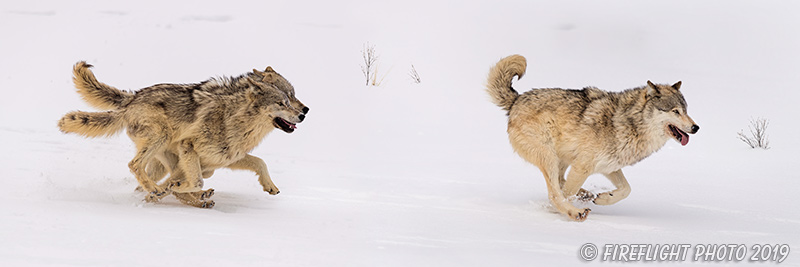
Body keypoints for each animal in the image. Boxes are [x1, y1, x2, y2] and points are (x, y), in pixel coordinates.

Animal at [57, 61, 308, 208]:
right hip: (162, 139)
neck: (239, 122)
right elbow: (192, 182)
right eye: (284, 101)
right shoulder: (189, 146)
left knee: (146, 178)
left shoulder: (223, 159)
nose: (304, 112)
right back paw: (159, 191)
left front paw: (270, 186)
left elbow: (260, 162)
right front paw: (169, 191)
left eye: (292, 97)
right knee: (134, 165)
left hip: (171, 158)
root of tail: (131, 100)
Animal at [484, 54, 696, 222]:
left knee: (560, 182)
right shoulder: (583, 167)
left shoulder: (609, 166)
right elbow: (564, 194)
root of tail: (516, 100)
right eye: (675, 111)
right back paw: (575, 211)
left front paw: (604, 198)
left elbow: (626, 189)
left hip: (561, 160)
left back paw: (586, 195)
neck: (627, 122)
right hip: (549, 157)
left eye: (686, 110)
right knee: (555, 192)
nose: (696, 127)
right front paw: (563, 212)